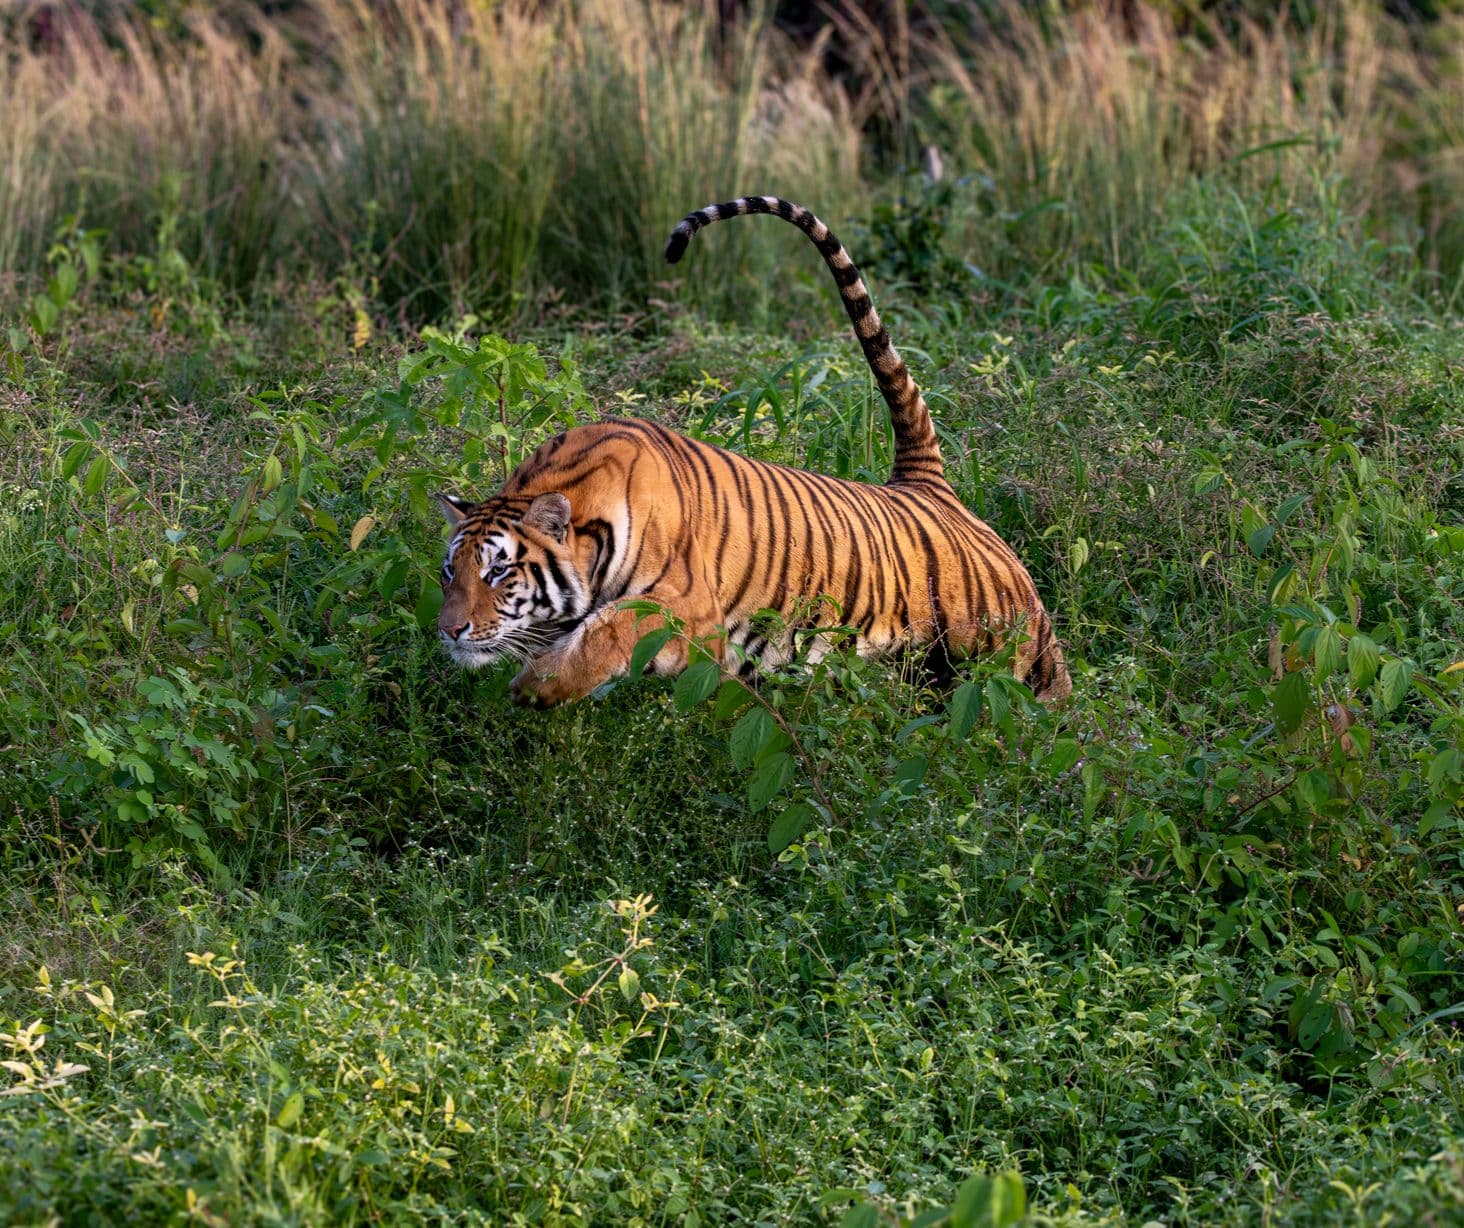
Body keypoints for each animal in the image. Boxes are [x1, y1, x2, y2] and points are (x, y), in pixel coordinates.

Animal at [436, 195, 1071, 708]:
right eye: (449, 572)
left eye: (498, 571)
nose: (449, 631)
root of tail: (927, 484)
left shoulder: (690, 608)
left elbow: (610, 630)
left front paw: (539, 688)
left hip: (1018, 647)